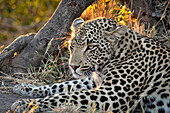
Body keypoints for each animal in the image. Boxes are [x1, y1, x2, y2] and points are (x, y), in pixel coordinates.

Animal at [11, 17, 169, 112]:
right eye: (72, 46)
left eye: (91, 47)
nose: (73, 66)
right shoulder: (94, 82)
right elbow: (61, 86)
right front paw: (25, 87)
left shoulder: (111, 93)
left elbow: (67, 96)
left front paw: (26, 103)